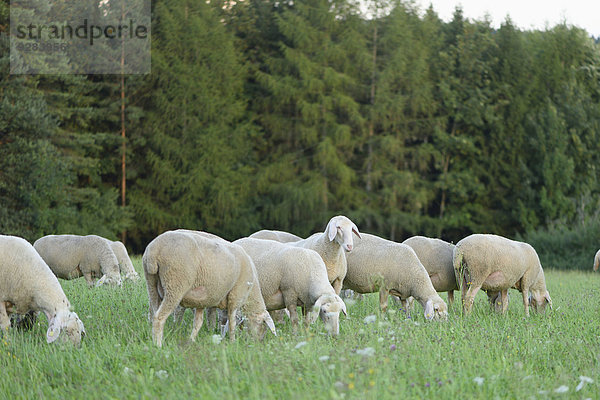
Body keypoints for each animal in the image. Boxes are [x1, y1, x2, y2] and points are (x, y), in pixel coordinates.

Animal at [143, 230, 276, 346]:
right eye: (262, 325)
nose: (259, 342)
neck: (252, 292)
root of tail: (155, 250)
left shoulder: (201, 301)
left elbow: (198, 323)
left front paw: (192, 341)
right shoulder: (236, 297)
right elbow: (232, 323)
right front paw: (233, 342)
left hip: (152, 284)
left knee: (154, 311)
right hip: (175, 284)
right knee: (159, 317)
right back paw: (158, 345)